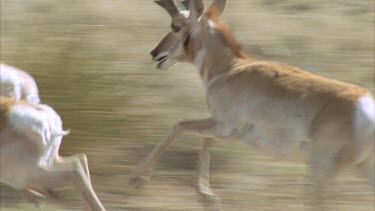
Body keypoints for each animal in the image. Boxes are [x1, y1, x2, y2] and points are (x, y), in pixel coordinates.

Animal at [130, 0, 375, 209]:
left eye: (175, 26)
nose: (155, 53)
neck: (230, 68)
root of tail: (365, 105)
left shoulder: (222, 126)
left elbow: (181, 126)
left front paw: (138, 179)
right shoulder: (221, 128)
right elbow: (204, 139)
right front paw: (208, 198)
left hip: (320, 169)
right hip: (361, 169)